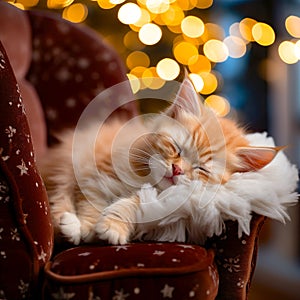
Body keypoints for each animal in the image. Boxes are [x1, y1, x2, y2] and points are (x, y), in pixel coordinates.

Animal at [38, 77, 278, 244]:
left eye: (202, 169)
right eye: (177, 149)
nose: (176, 169)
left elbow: (131, 204)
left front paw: (112, 227)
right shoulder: (97, 171)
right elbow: (92, 202)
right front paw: (86, 228)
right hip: (67, 164)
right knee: (58, 196)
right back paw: (68, 225)